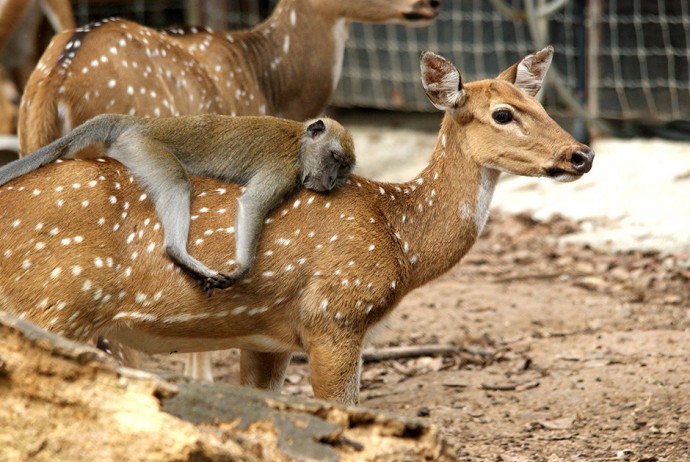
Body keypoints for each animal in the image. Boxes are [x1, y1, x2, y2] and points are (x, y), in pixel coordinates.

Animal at [0, 113, 354, 290]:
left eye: (344, 169)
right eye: (334, 158)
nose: (330, 182)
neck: (300, 143)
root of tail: (137, 122)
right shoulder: (284, 170)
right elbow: (253, 204)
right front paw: (241, 269)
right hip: (143, 147)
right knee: (175, 182)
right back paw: (177, 251)